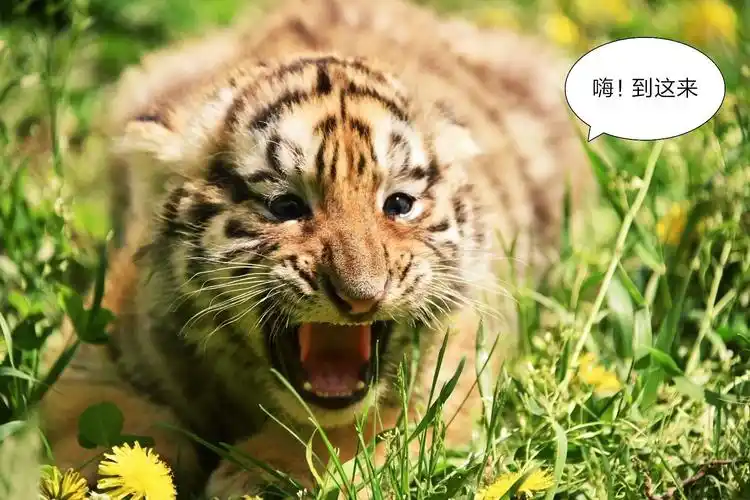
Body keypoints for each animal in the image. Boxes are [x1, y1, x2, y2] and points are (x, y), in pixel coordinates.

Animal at [40, 0, 594, 496]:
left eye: (399, 204)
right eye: (286, 206)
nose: (361, 298)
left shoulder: (455, 368)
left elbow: (358, 430)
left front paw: (262, 476)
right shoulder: (97, 337)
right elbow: (90, 416)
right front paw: (112, 474)